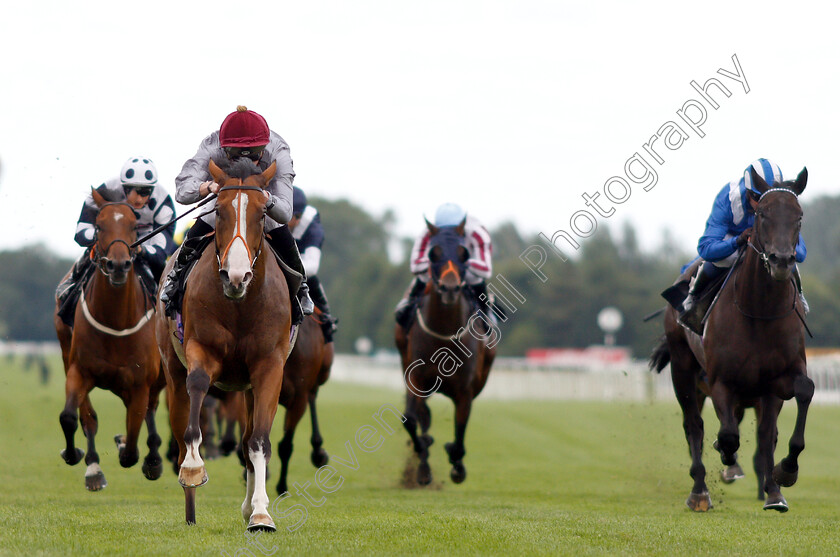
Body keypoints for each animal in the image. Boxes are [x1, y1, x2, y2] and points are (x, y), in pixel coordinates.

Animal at [54, 188, 166, 490]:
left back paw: (150, 456)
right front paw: (78, 456)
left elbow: (133, 444)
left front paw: (143, 455)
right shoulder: (79, 371)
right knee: (89, 418)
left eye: (134, 227)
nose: (117, 265)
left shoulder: (140, 384)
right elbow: (71, 417)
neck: (116, 322)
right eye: (99, 226)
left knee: (149, 413)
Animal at [156, 157, 294, 528]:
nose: (236, 276)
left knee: (246, 439)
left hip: (247, 388)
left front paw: (260, 512)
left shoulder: (268, 367)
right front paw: (193, 469)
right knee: (180, 428)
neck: (240, 306)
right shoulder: (201, 350)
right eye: (218, 210)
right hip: (172, 371)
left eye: (262, 213)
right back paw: (190, 508)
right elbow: (197, 398)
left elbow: (258, 441)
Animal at [398, 219, 496, 484]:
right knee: (422, 416)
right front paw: (423, 451)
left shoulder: (465, 390)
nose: (450, 288)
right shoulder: (416, 379)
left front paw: (457, 464)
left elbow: (460, 428)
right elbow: (411, 419)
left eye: (464, 253)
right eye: (433, 253)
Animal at [648, 166, 812, 512]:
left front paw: (783, 476)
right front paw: (726, 458)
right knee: (694, 426)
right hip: (683, 368)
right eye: (762, 214)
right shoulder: (721, 380)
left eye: (799, 216)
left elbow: (794, 404)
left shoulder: (778, 379)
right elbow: (726, 435)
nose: (781, 261)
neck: (759, 311)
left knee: (758, 432)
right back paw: (700, 491)